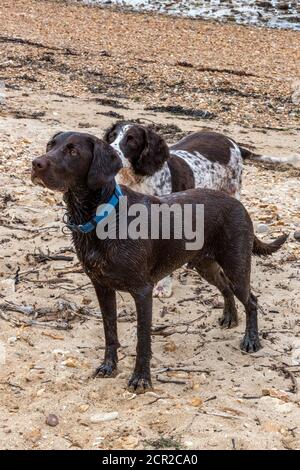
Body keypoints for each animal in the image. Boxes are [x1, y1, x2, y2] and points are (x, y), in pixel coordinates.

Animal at [104, 121, 245, 298]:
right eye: (111, 136)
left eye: (132, 140)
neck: (137, 180)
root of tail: (229, 140)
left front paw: (163, 286)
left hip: (233, 192)